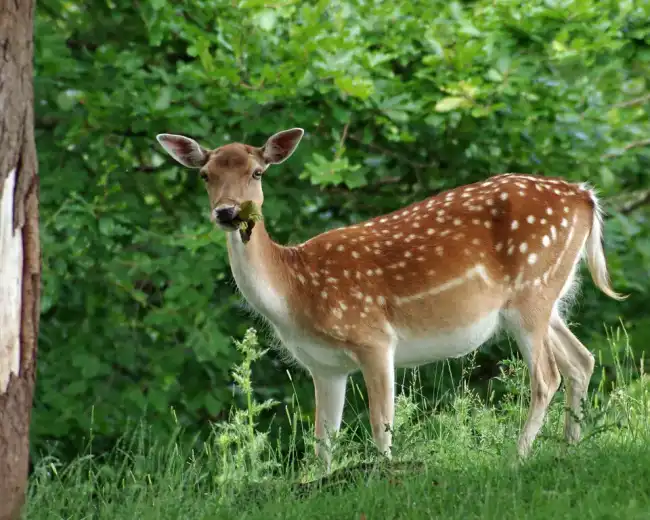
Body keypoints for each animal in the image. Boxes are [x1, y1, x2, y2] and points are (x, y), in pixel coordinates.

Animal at [156, 127, 625, 469]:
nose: (227, 212)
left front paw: (385, 476)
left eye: (257, 172)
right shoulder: (324, 366)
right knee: (581, 359)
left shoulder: (374, 338)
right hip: (546, 297)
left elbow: (381, 424)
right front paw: (322, 483)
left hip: (532, 290)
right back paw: (568, 450)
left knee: (547, 375)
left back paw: (517, 458)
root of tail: (586, 196)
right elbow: (323, 439)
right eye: (205, 175)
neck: (295, 292)